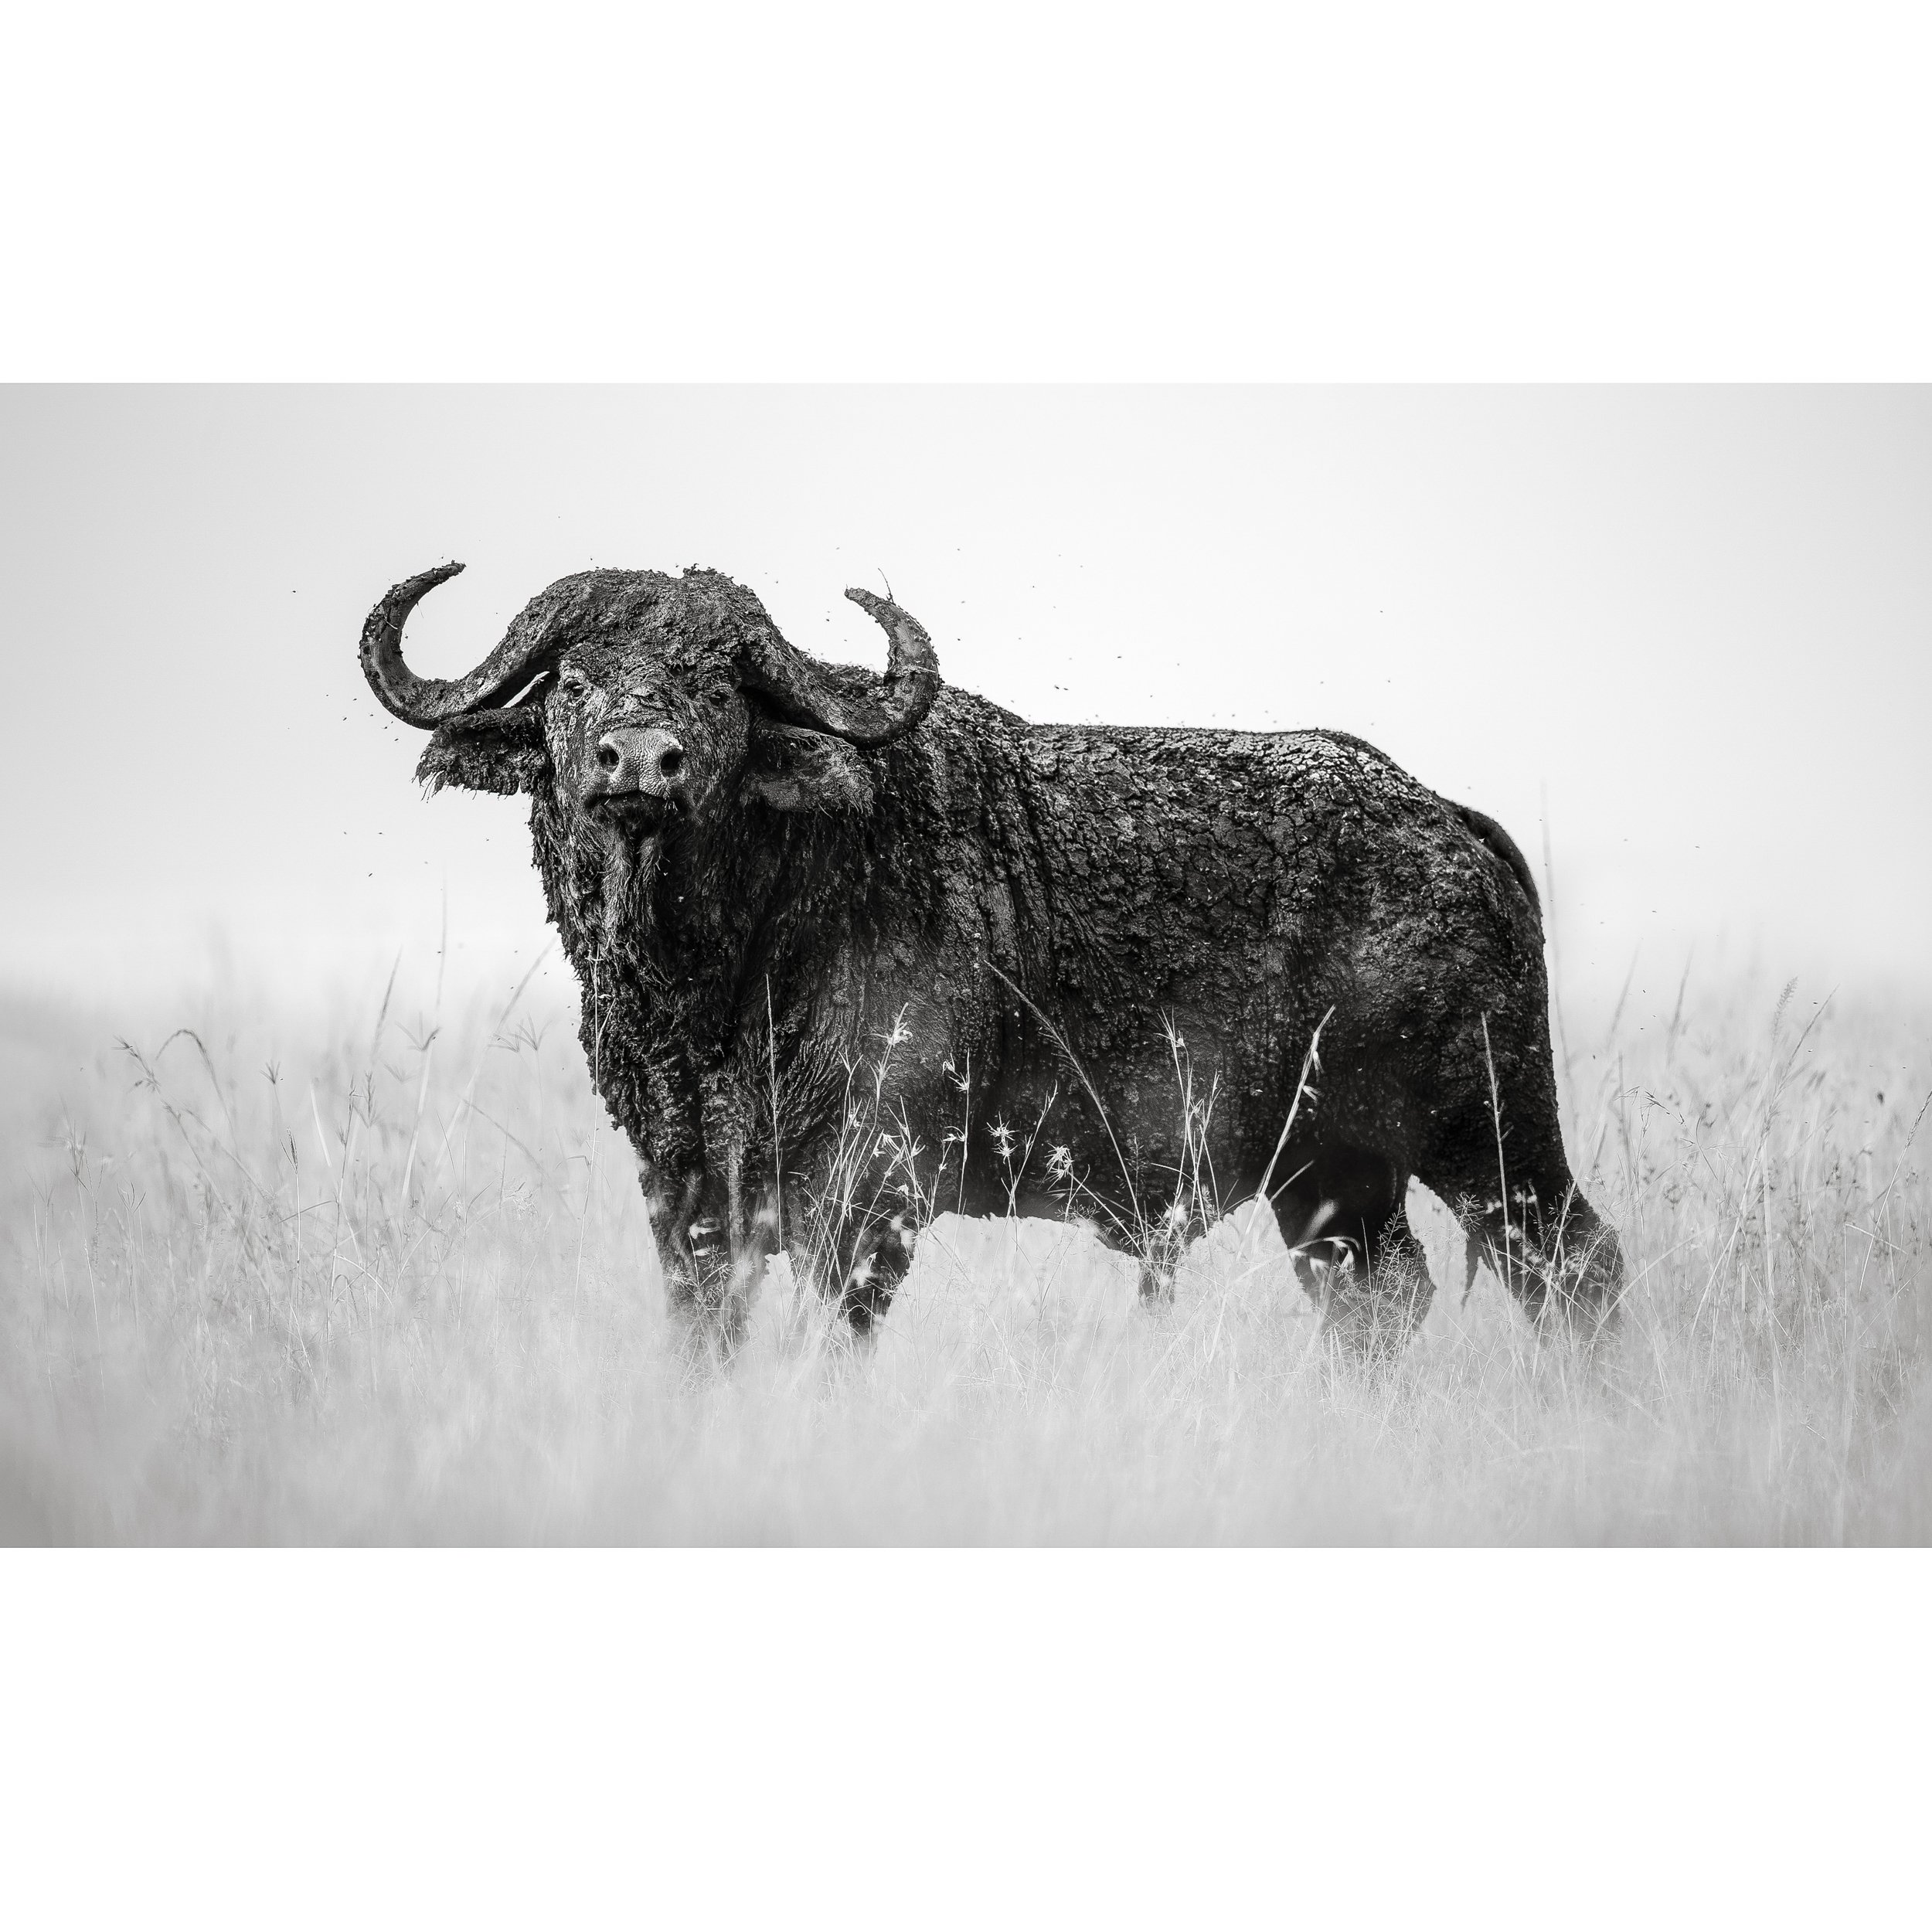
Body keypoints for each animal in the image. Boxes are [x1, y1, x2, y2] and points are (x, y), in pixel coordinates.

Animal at [360, 561, 1623, 1359]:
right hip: (1332, 1177)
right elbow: (705, 1331)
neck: (714, 985)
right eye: (570, 681)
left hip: (1489, 1128)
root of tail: (1444, 819)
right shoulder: (684, 1187)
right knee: (1380, 1301)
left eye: (719, 683)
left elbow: (834, 1329)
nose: (638, 760)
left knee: (1573, 1265)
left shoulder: (868, 1187)